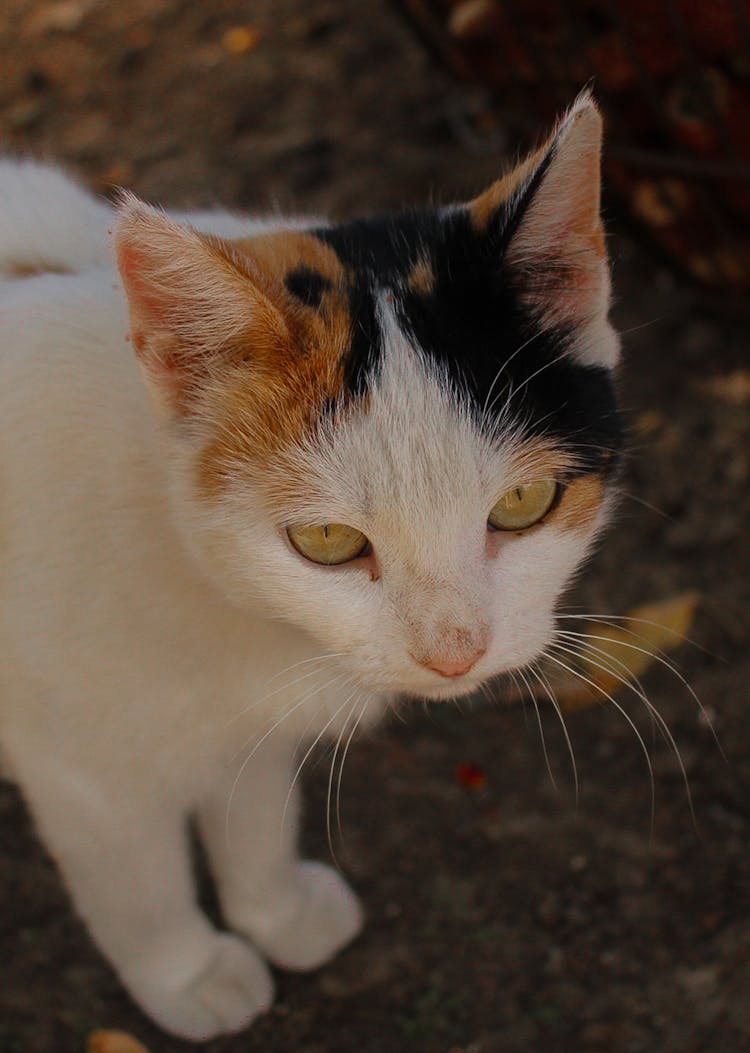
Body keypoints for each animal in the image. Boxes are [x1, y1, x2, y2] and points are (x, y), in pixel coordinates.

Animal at [0, 94, 619, 1040]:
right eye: (327, 539)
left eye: (524, 501)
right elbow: (136, 885)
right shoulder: (83, 773)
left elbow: (253, 808)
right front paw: (187, 972)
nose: (454, 651)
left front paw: (274, 910)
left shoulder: (250, 720)